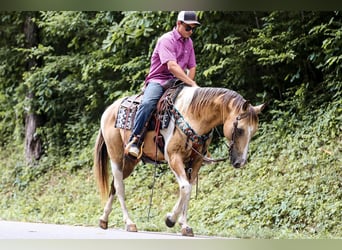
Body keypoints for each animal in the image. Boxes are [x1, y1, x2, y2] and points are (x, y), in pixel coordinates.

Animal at [93, 84, 264, 236]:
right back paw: (129, 222)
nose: (240, 162)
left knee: (114, 186)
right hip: (116, 157)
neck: (193, 116)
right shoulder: (174, 158)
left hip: (130, 161)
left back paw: (104, 219)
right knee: (120, 187)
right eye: (240, 130)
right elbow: (185, 188)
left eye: (254, 131)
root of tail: (109, 110)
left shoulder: (196, 162)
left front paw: (185, 225)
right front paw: (170, 219)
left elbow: (188, 189)